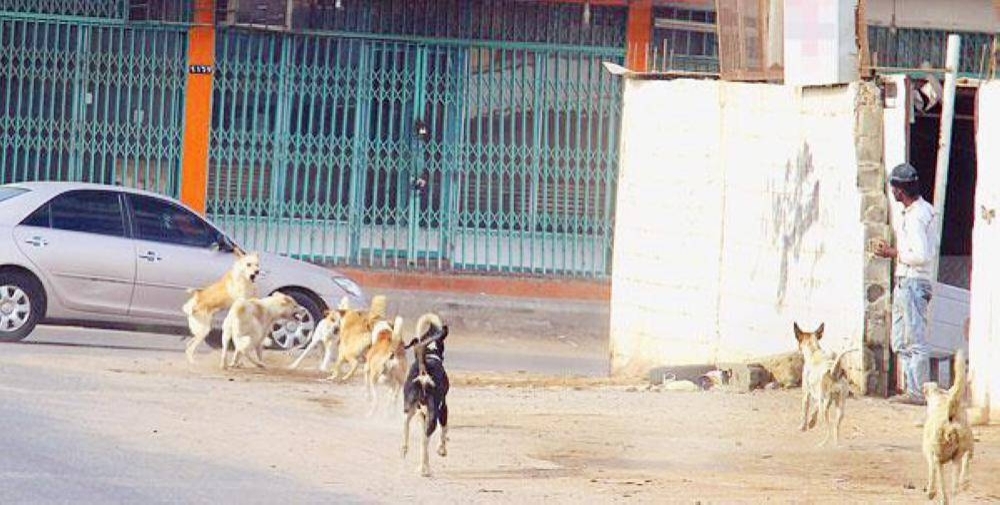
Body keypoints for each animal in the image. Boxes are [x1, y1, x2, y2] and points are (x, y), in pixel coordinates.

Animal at [400, 314, 452, 474]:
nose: (444, 326)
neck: (430, 353)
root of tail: (424, 369)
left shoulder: (422, 414)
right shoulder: (443, 409)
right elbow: (444, 430)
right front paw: (442, 450)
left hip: (409, 408)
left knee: (406, 424)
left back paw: (405, 450)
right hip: (434, 413)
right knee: (425, 441)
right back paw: (424, 469)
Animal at [916, 348, 972, 502]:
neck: (942, 400)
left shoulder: (932, 456)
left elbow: (933, 473)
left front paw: (931, 492)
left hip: (939, 455)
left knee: (944, 482)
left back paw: (941, 494)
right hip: (964, 446)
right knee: (964, 463)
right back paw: (963, 483)